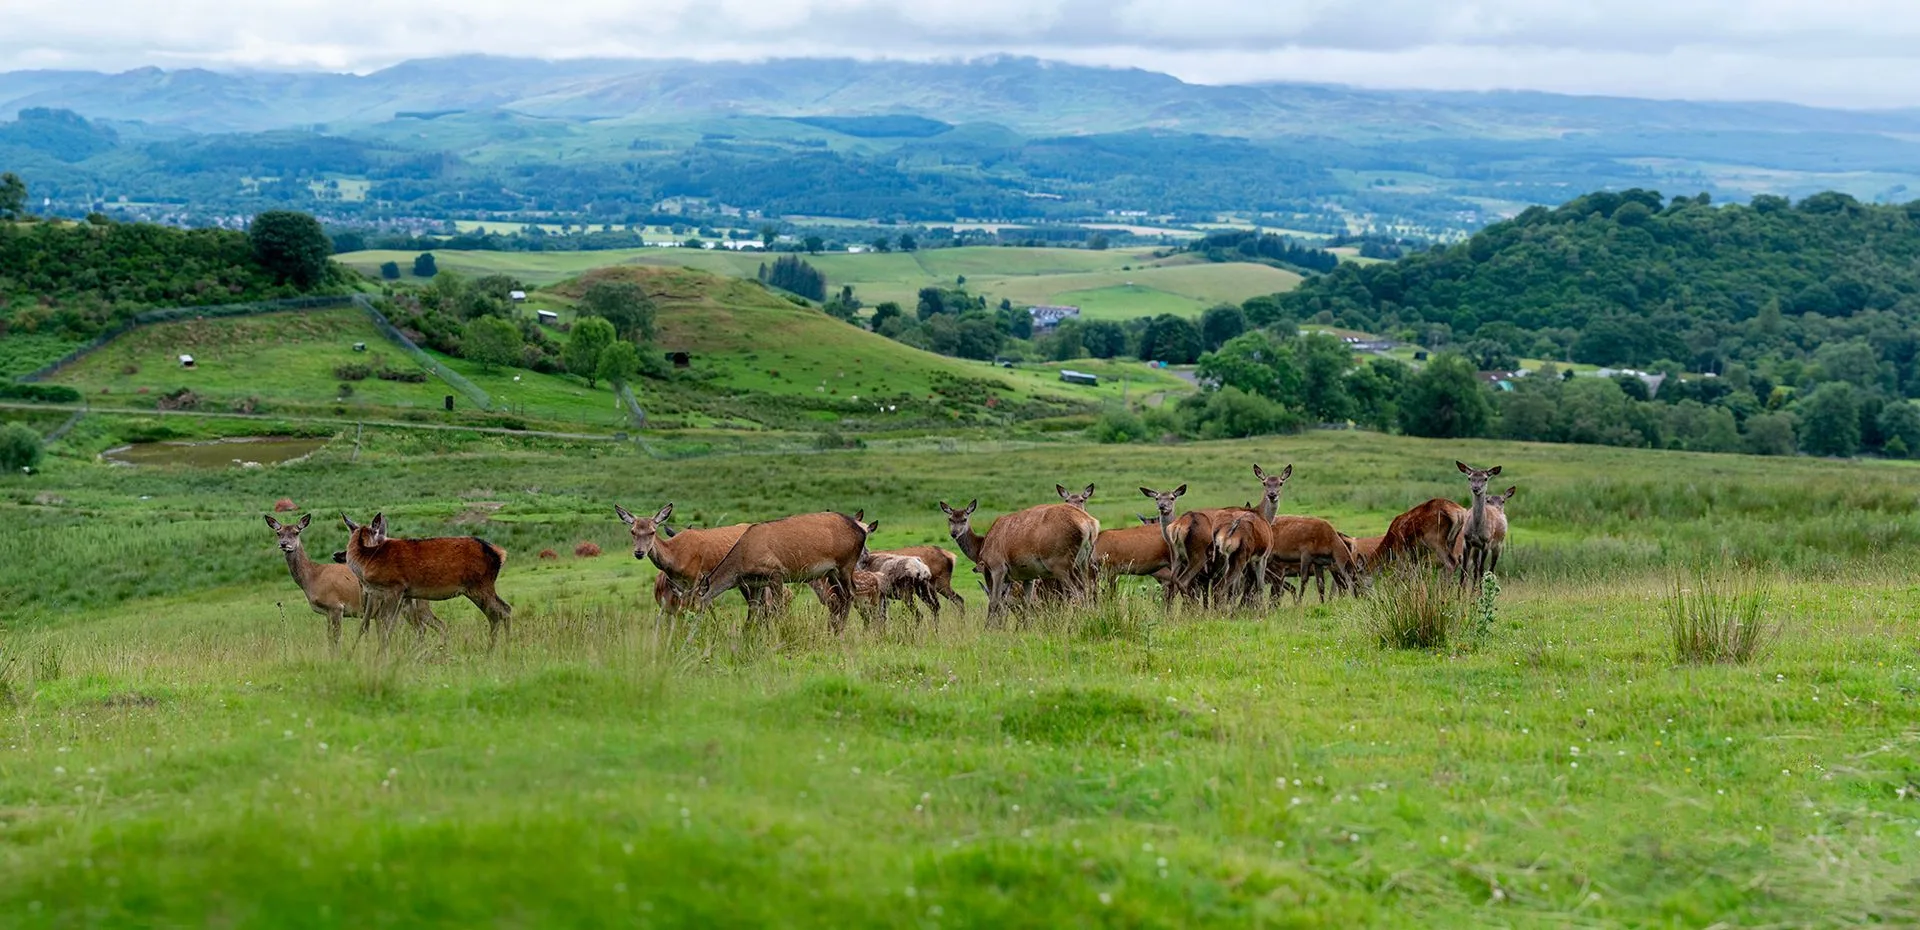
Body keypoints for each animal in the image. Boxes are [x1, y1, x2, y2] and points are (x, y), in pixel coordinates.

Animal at [266, 514, 443, 650]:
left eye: (296, 532)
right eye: (278, 533)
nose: (284, 544)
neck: (313, 578)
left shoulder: (335, 606)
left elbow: (336, 639)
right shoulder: (327, 613)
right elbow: (330, 638)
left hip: (412, 605)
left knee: (424, 627)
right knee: (432, 625)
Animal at [340, 513, 513, 651]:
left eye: (379, 537)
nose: (336, 555)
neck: (367, 561)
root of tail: (500, 553)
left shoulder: (395, 588)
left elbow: (385, 624)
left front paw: (381, 655)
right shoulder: (396, 595)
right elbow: (381, 625)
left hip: (480, 584)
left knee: (504, 610)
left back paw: (504, 650)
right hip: (477, 588)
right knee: (496, 614)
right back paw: (492, 651)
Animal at [692, 511, 875, 632]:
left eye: (694, 604)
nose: (690, 625)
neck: (742, 562)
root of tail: (862, 530)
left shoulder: (775, 572)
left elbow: (777, 607)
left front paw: (781, 631)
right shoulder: (755, 582)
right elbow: (752, 610)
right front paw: (747, 635)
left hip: (846, 564)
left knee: (850, 592)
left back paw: (840, 630)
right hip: (831, 572)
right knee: (841, 596)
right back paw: (834, 628)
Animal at [940, 494, 1099, 622]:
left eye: (964, 519)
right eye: (950, 519)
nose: (954, 534)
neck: (980, 547)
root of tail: (1090, 524)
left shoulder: (997, 567)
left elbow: (994, 601)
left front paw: (990, 629)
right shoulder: (1027, 575)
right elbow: (1024, 604)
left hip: (1060, 562)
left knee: (1077, 593)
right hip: (1083, 562)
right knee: (1087, 590)